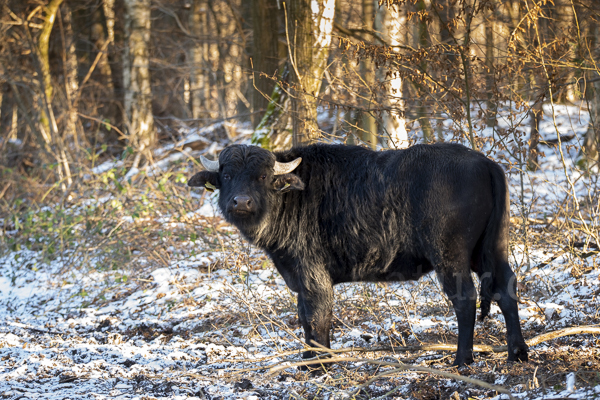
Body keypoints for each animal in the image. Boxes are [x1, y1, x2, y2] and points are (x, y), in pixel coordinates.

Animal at [186, 143, 524, 366]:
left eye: (262, 177)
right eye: (227, 176)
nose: (241, 202)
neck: (292, 198)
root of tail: (486, 163)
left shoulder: (313, 277)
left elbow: (316, 318)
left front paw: (318, 365)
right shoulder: (300, 281)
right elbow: (304, 318)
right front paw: (308, 360)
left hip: (450, 257)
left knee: (465, 300)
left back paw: (462, 359)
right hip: (490, 251)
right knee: (506, 289)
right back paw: (518, 353)